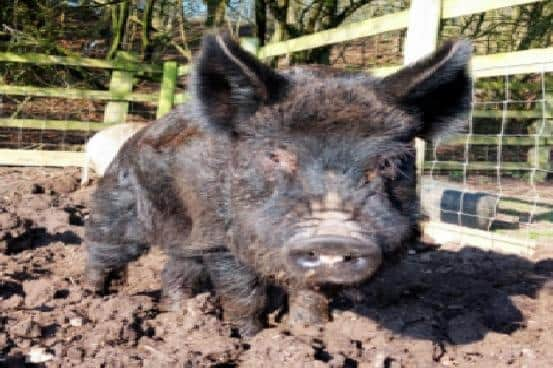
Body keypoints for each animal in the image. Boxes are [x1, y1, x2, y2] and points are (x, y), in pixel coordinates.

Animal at [85, 34, 470, 336]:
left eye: (387, 162)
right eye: (275, 156)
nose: (333, 235)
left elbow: (311, 292)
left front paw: (309, 331)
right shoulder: (221, 238)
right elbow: (245, 293)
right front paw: (250, 338)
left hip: (186, 238)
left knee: (177, 269)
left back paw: (177, 313)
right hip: (118, 208)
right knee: (104, 250)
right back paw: (92, 297)